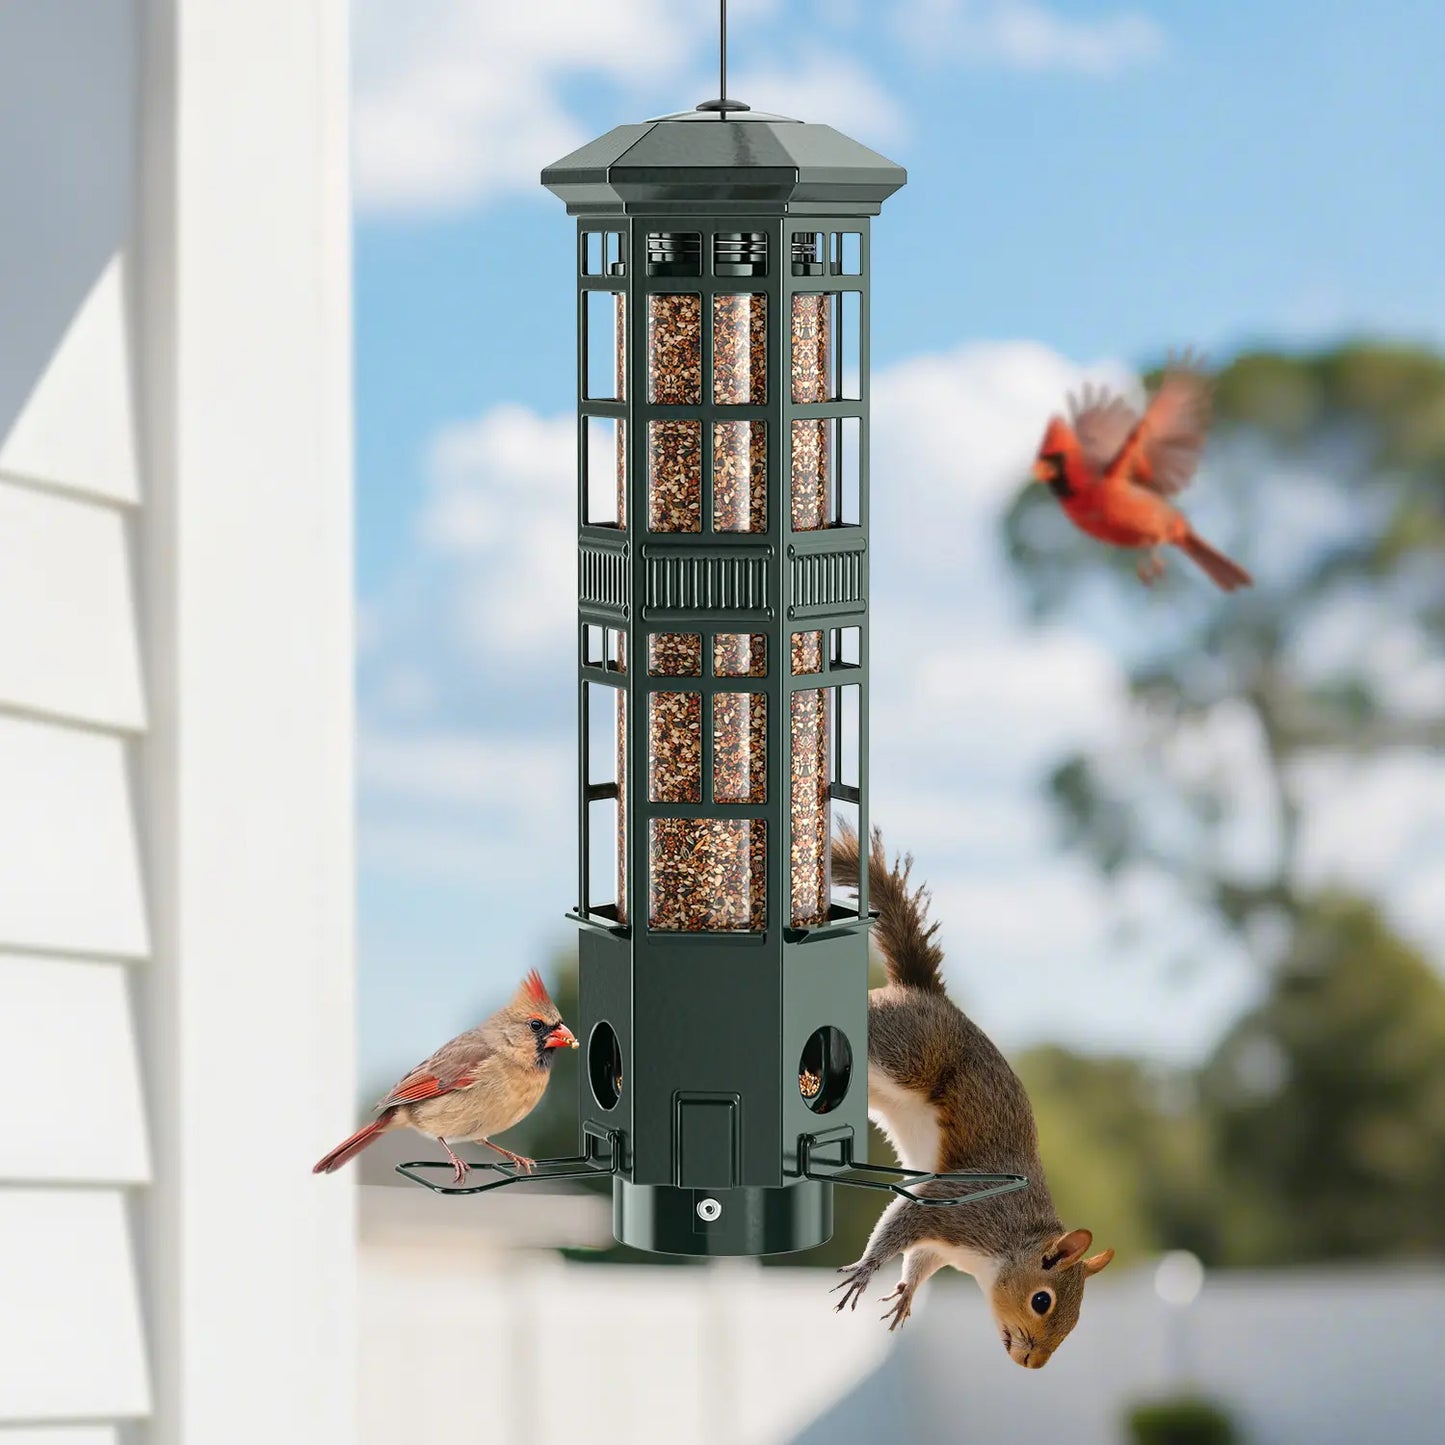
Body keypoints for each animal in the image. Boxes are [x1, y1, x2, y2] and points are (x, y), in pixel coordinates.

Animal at [830, 822, 1113, 1368]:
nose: (1033, 1365)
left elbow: (917, 1259)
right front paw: (866, 1267)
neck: (1003, 1246)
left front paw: (906, 1294)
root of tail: (926, 994)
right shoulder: (960, 1208)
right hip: (906, 1053)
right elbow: (900, 1221)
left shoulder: (941, 1246)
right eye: (1042, 1301)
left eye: (1077, 1319)